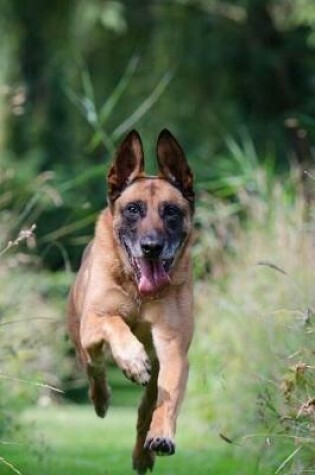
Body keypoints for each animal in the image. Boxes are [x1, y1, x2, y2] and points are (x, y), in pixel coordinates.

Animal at [67, 128, 195, 474]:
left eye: (171, 211)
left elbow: (167, 399)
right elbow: (114, 322)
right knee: (94, 368)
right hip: (82, 338)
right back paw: (102, 398)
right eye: (133, 209)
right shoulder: (95, 321)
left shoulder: (173, 347)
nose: (151, 246)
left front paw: (162, 435)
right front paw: (133, 360)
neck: (139, 291)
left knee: (145, 409)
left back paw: (143, 454)